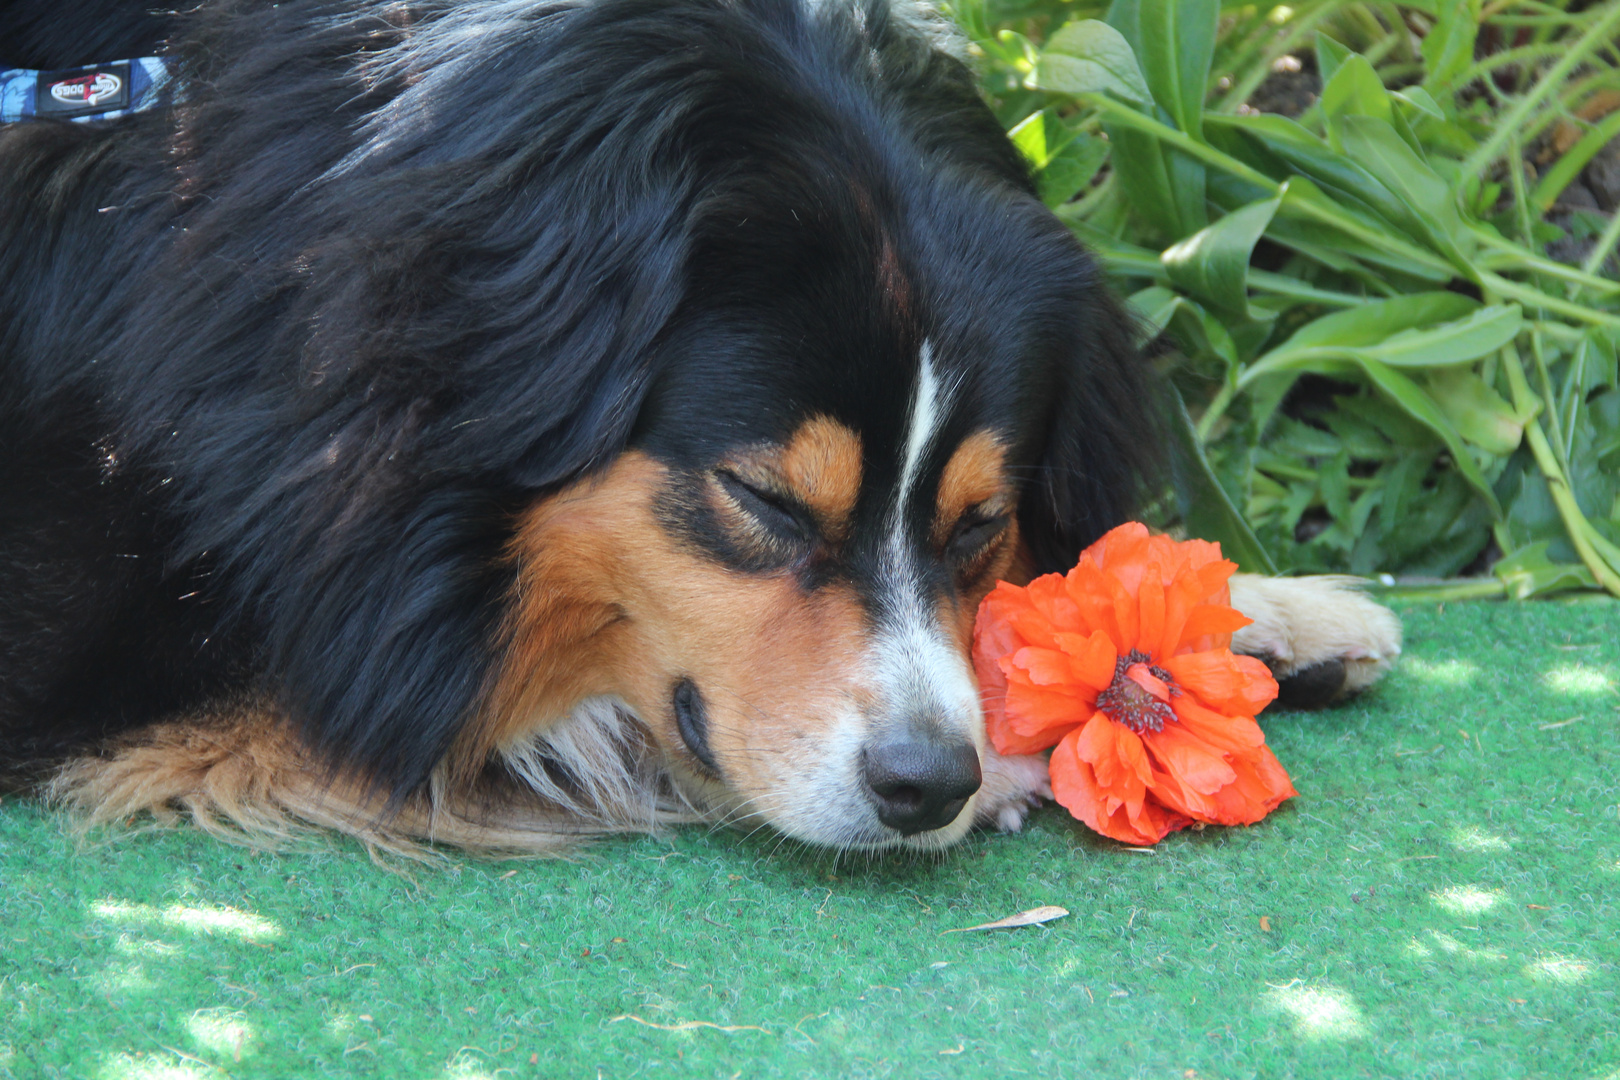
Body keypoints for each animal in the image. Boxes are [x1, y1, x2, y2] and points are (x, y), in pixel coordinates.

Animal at [0, 0, 1399, 854]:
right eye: (765, 500)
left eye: (980, 525)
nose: (925, 784)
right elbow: (502, 705)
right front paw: (1012, 760)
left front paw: (1270, 614)